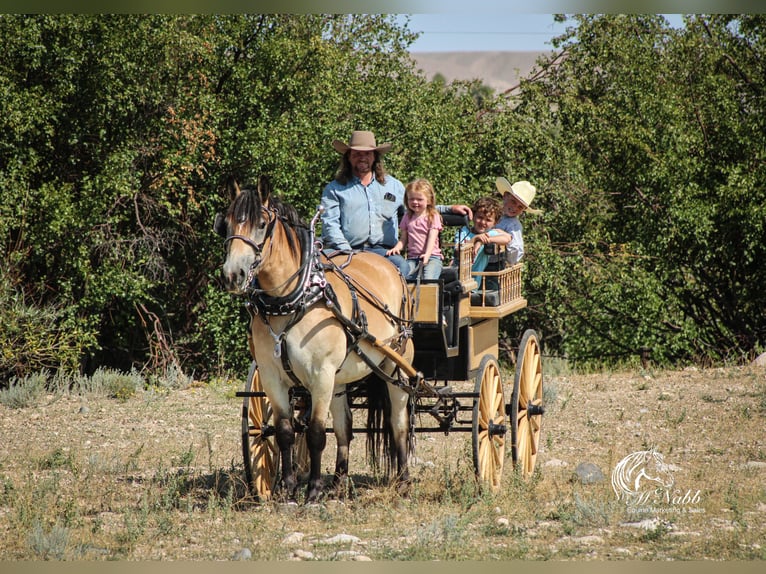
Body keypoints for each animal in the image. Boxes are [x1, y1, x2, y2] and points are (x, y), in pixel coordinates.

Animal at [216, 175, 417, 503]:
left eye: (261, 223)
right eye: (228, 223)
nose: (233, 275)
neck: (293, 301)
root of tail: (389, 267)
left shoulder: (321, 375)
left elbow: (315, 433)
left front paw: (311, 490)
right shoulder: (272, 377)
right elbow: (285, 432)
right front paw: (287, 488)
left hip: (395, 366)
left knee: (398, 423)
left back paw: (403, 481)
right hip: (340, 379)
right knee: (345, 427)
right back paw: (338, 481)